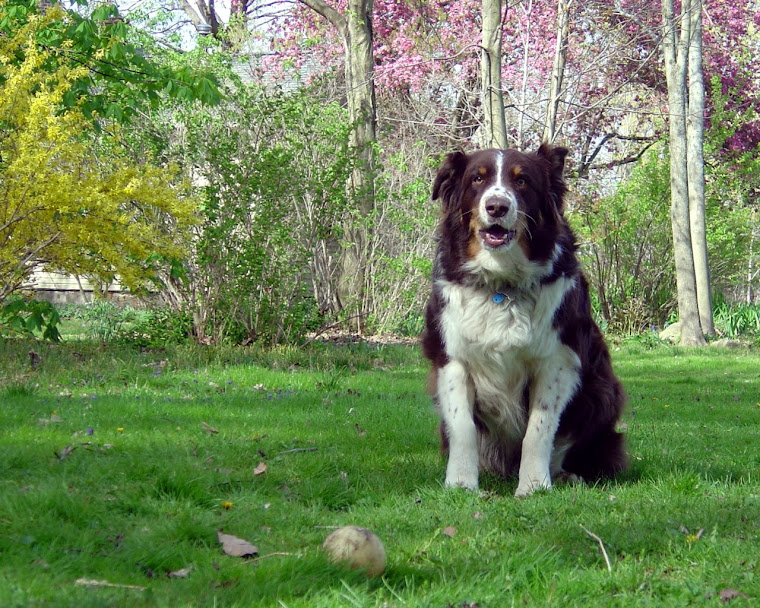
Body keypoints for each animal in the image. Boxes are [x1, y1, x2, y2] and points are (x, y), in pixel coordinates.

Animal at [418, 145, 628, 496]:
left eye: (522, 181)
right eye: (477, 179)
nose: (497, 206)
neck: (501, 283)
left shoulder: (557, 361)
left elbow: (538, 429)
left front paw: (533, 485)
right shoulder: (452, 358)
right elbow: (462, 426)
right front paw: (461, 483)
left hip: (602, 391)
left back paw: (565, 475)